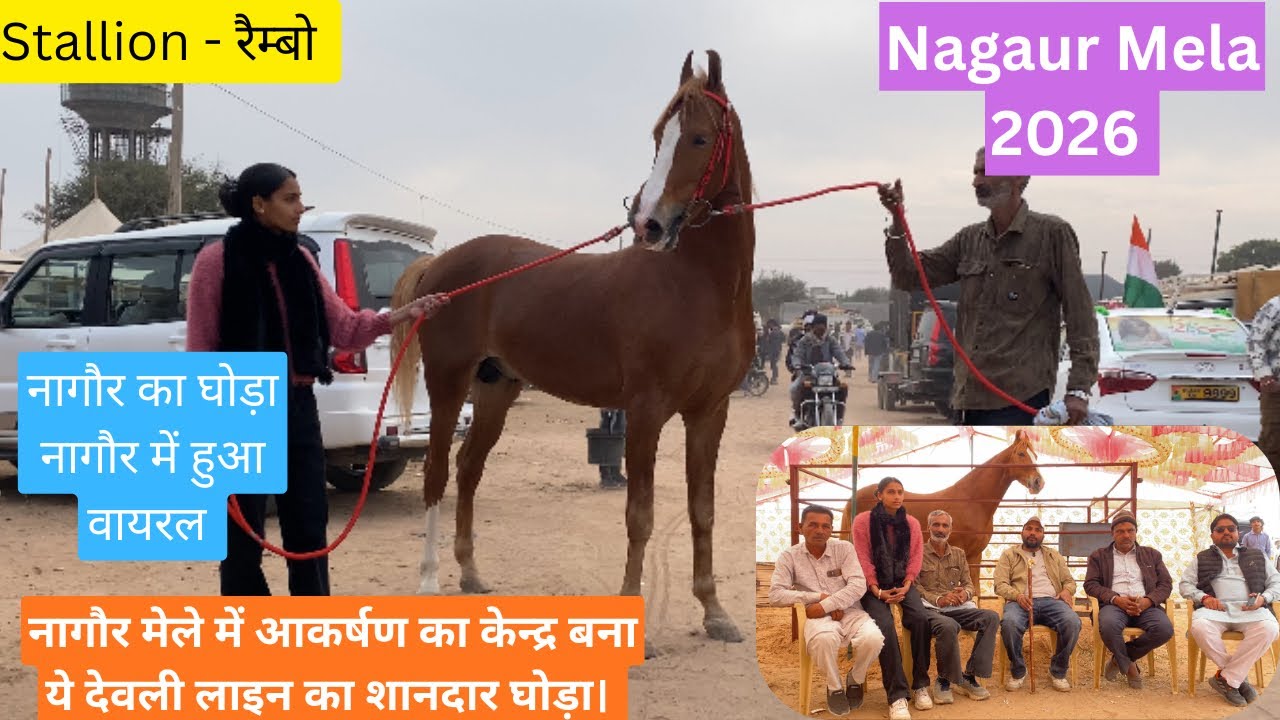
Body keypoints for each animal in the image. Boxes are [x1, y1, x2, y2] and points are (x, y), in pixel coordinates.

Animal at [388, 50, 755, 657]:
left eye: (700, 138)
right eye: (658, 135)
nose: (647, 223)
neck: (695, 285)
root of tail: (441, 264)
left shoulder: (711, 412)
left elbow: (701, 510)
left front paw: (715, 613)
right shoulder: (646, 412)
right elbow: (640, 515)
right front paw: (638, 626)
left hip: (495, 389)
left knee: (468, 469)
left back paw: (471, 575)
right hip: (447, 383)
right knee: (438, 473)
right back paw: (428, 581)